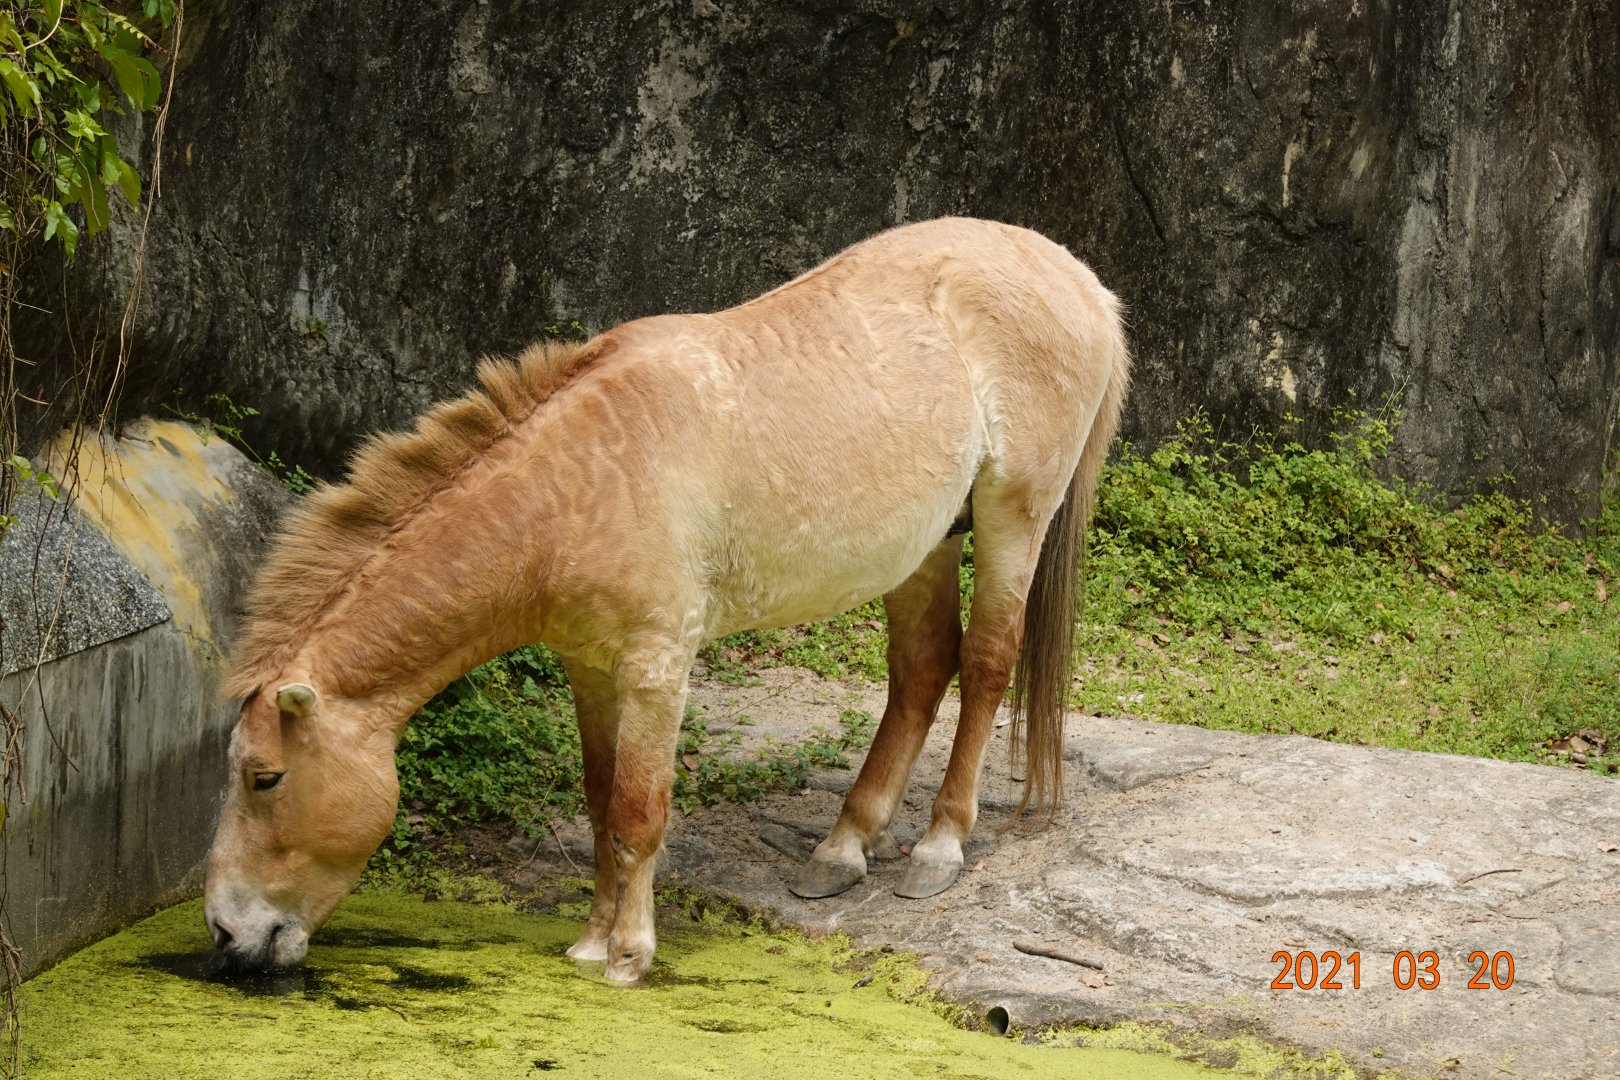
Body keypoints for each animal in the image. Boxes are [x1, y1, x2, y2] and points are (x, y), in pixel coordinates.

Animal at [202, 216, 1129, 982]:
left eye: (265, 778)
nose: (225, 933)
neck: (576, 489)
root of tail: (1081, 278)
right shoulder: (589, 667)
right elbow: (597, 799)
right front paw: (590, 942)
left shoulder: (656, 668)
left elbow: (638, 812)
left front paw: (629, 956)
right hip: (927, 547)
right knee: (922, 670)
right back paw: (841, 850)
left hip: (1013, 520)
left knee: (986, 665)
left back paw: (939, 848)